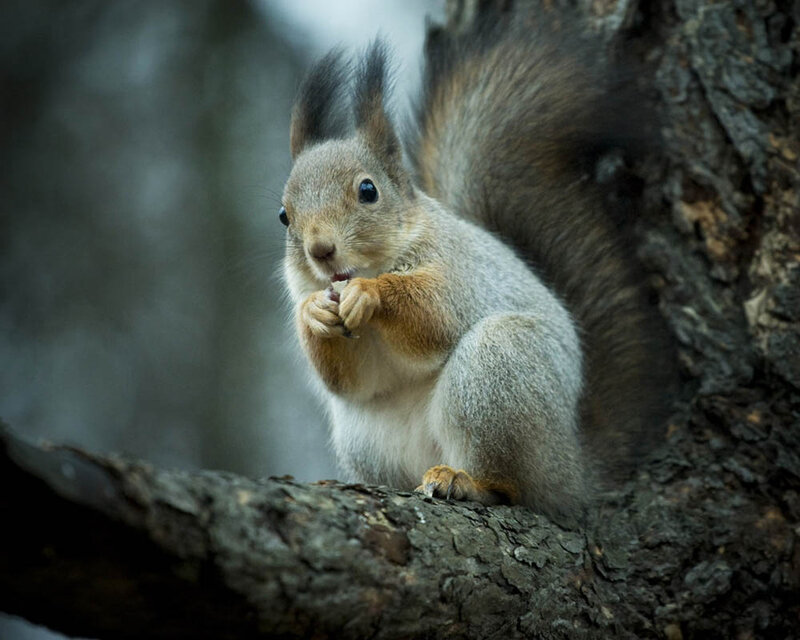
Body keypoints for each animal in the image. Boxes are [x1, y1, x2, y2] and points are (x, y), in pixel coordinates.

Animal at [279, 3, 673, 524]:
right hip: (366, 435)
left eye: (368, 190)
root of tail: (572, 472)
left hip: (497, 370)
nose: (321, 251)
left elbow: (434, 315)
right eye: (284, 215)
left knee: (514, 487)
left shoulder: (459, 270)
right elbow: (348, 379)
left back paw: (467, 482)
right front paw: (313, 314)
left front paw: (373, 293)